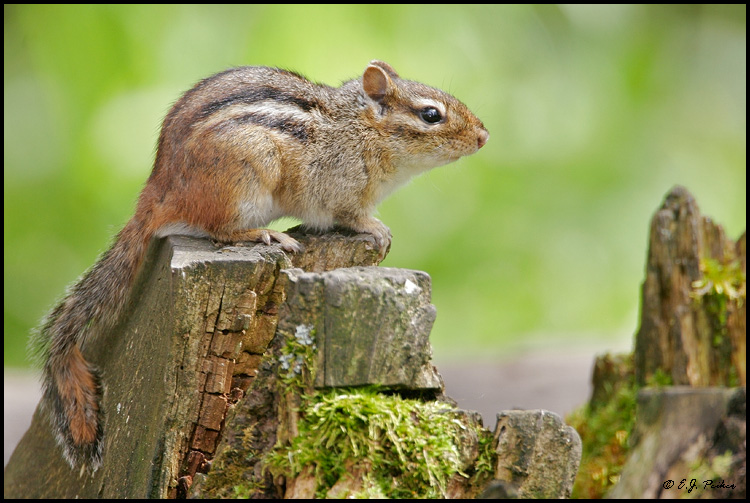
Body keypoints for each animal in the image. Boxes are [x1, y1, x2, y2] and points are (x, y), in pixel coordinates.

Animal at [33, 60, 489, 471]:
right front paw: (375, 230)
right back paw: (265, 235)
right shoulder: (341, 193)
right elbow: (352, 217)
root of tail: (158, 192)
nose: (484, 136)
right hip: (246, 179)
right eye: (431, 115)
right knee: (220, 231)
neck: (361, 131)